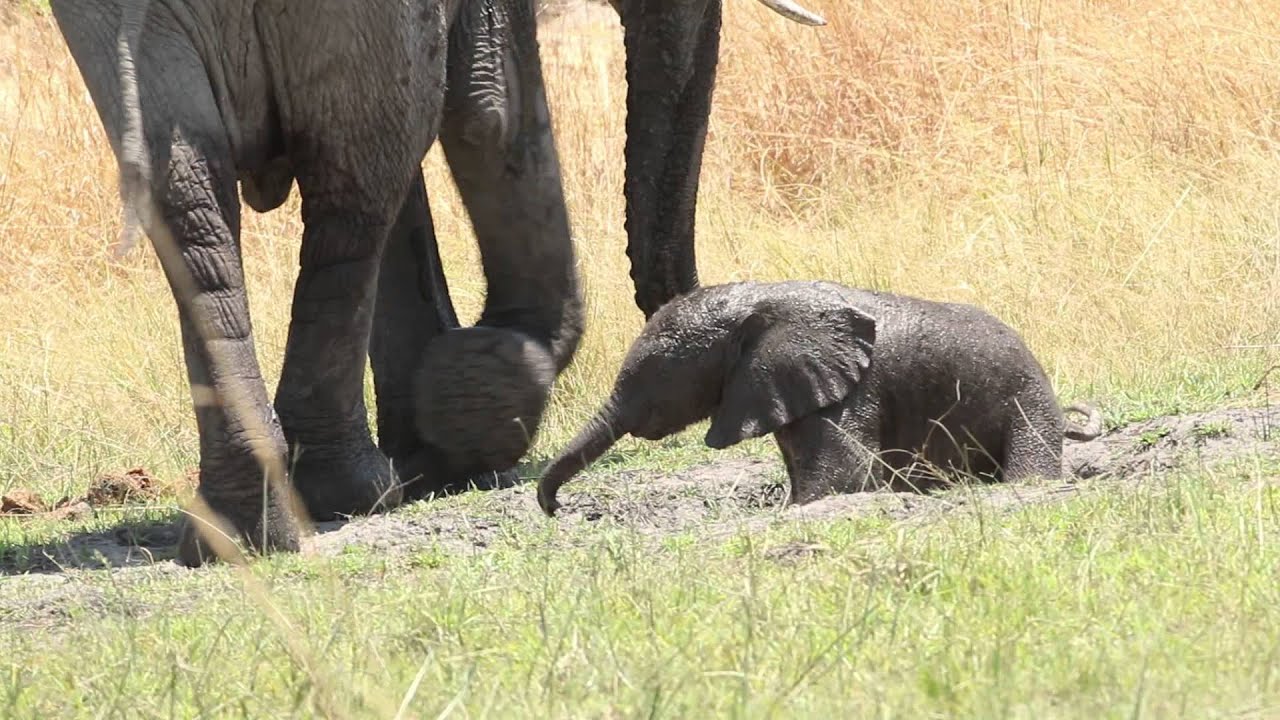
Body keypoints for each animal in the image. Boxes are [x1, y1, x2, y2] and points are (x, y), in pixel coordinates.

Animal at [537, 281, 1104, 515]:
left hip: (1026, 401)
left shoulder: (850, 393)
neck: (762, 300)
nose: (557, 509)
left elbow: (844, 481)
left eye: (656, 381)